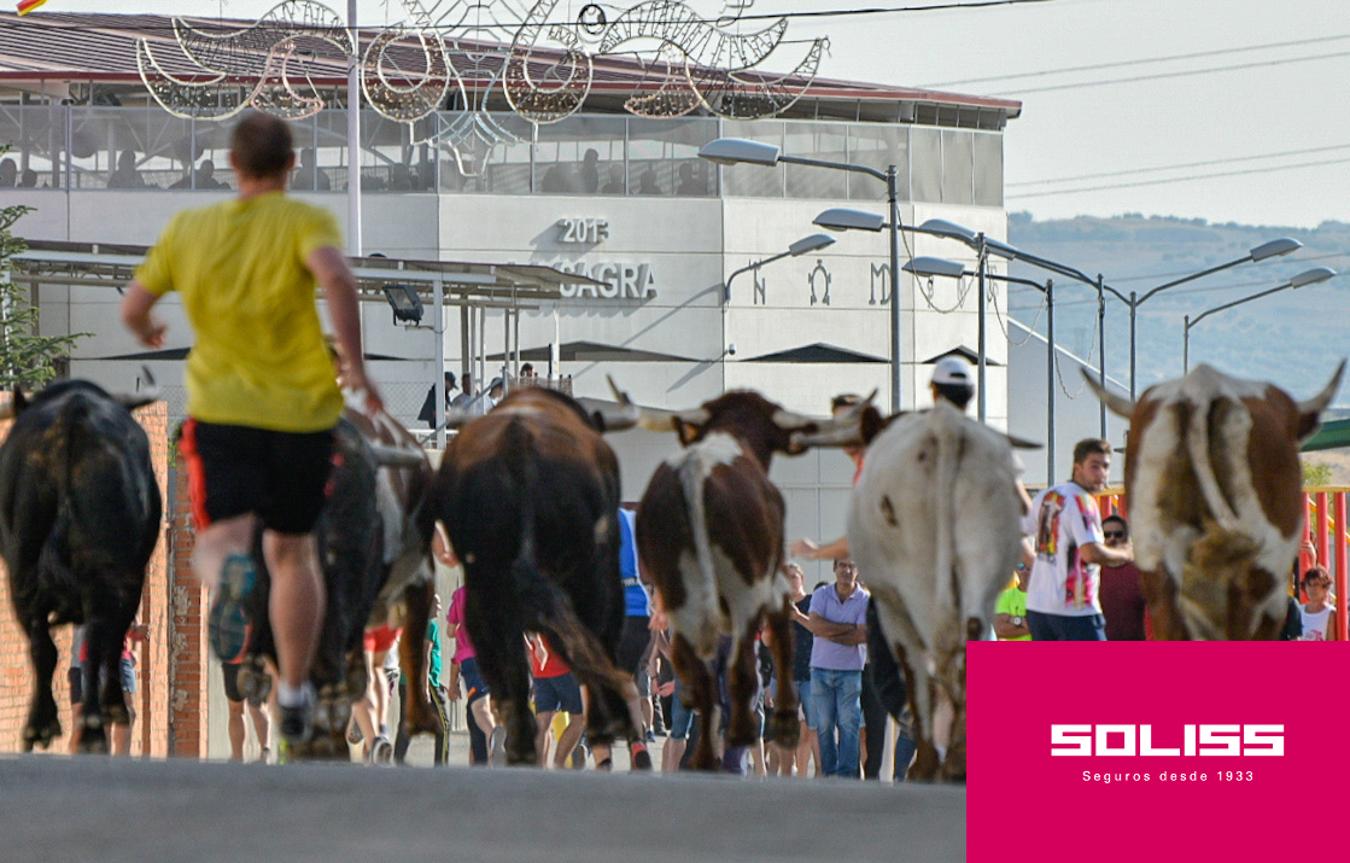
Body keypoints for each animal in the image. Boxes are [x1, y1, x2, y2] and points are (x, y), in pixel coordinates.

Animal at [0, 380, 160, 750]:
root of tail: (72, 417)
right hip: (111, 573)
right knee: (99, 641)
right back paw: (92, 726)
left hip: (22, 567)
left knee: (42, 644)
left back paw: (41, 727)